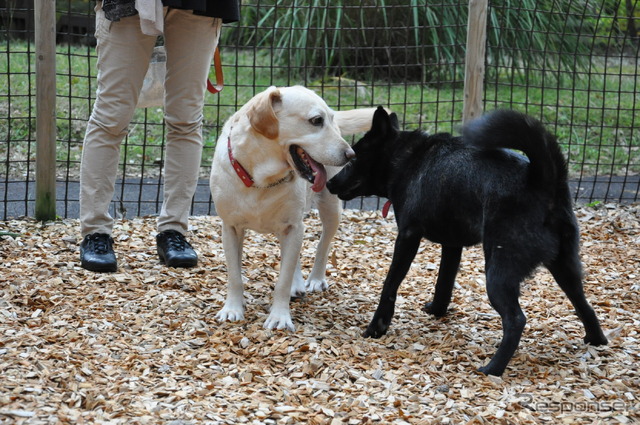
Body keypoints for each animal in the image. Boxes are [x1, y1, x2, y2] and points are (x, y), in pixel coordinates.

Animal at [210, 86, 380, 330]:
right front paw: (232, 309)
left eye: (330, 118)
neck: (262, 180)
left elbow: (283, 278)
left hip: (330, 210)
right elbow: (234, 275)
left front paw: (279, 316)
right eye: (317, 120)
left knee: (322, 246)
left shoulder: (292, 226)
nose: (351, 155)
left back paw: (314, 280)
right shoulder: (231, 227)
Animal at [328, 106, 608, 374]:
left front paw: (377, 327)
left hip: (499, 272)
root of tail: (544, 181)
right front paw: (437, 310)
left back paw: (493, 368)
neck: (407, 159)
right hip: (565, 267)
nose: (330, 183)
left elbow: (390, 285)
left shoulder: (408, 236)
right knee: (584, 305)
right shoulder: (452, 245)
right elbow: (444, 281)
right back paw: (597, 340)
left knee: (516, 320)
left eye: (353, 159)